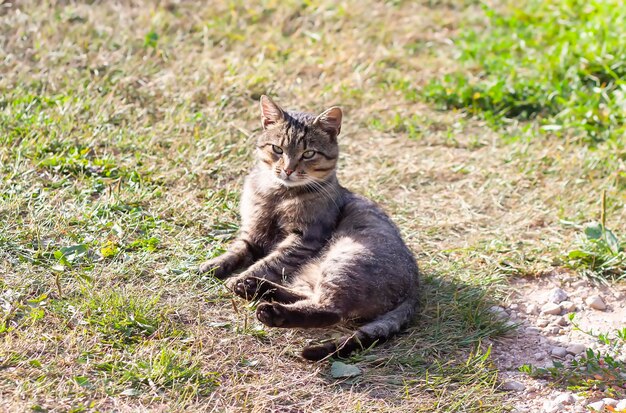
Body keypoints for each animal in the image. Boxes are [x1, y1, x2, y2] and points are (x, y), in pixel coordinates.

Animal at [197, 96, 416, 360]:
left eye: (308, 153)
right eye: (277, 149)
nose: (288, 169)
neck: (278, 195)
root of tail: (414, 289)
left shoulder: (303, 238)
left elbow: (269, 261)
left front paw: (239, 277)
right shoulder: (252, 232)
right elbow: (236, 250)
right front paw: (214, 265)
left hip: (343, 262)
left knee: (329, 310)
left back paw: (271, 310)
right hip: (313, 274)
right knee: (307, 296)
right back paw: (255, 288)